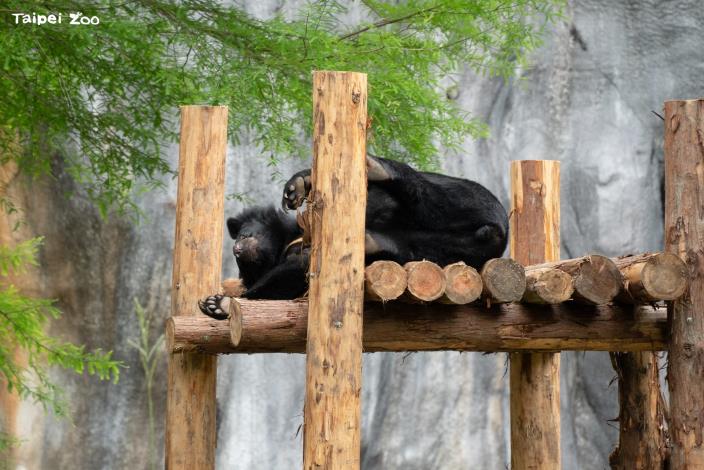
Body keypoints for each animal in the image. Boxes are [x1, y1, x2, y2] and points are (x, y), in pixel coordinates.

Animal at [199, 155, 508, 318]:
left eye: (246, 233)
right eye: (241, 263)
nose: (238, 248)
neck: (288, 240)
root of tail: (498, 233)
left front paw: (218, 303)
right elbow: (293, 274)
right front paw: (216, 304)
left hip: (468, 197)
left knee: (429, 197)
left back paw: (373, 168)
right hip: (441, 252)